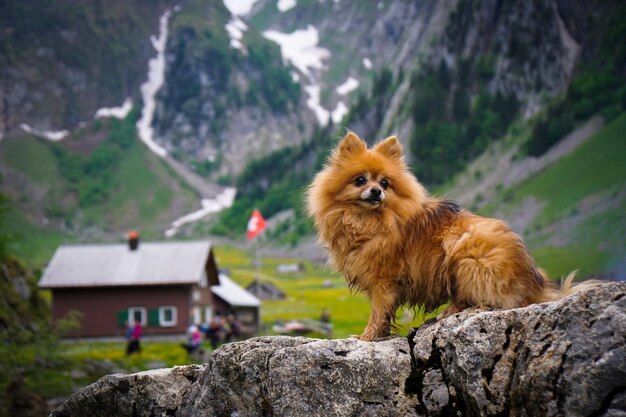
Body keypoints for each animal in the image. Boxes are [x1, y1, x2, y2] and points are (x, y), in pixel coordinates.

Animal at [304, 132, 588, 340]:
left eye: (384, 183)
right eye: (360, 180)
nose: (376, 191)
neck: (368, 222)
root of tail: (534, 281)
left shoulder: (384, 281)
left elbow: (378, 313)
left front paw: (367, 337)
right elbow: (383, 316)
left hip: (465, 253)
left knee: (495, 299)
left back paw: (456, 309)